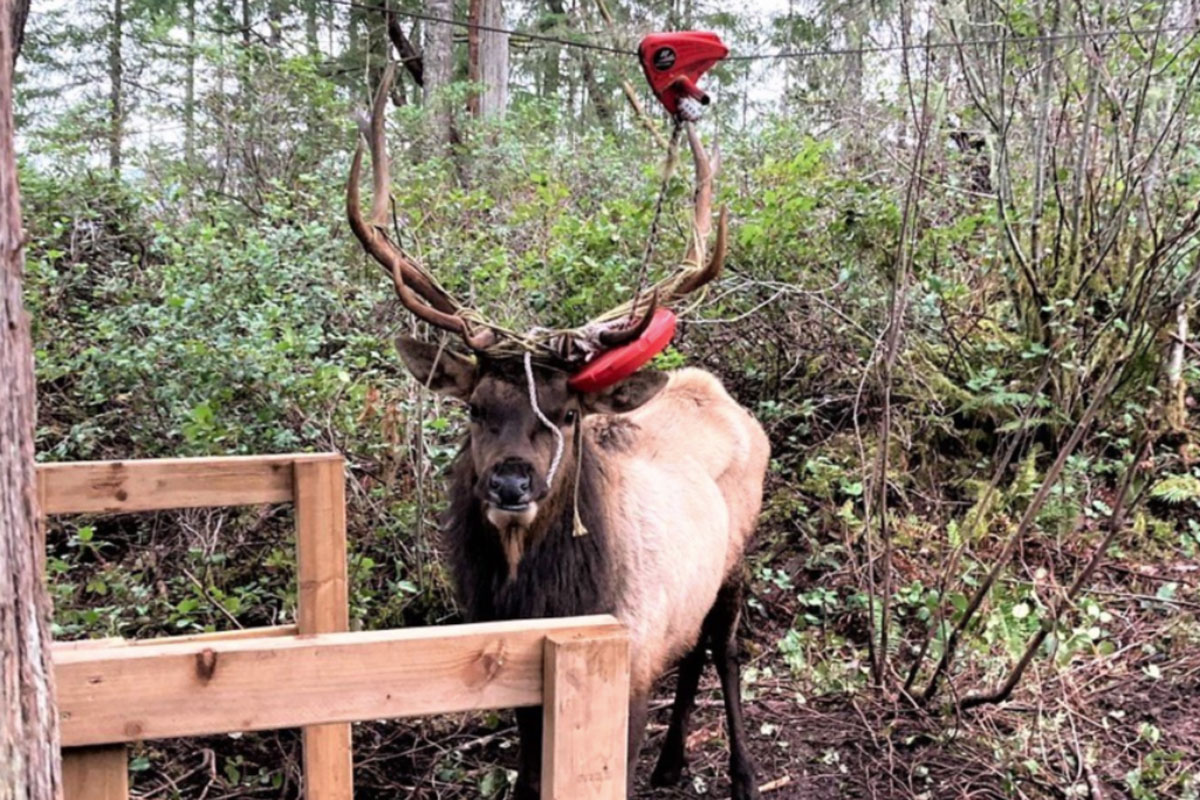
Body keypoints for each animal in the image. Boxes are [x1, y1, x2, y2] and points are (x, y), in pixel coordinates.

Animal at [350, 65, 768, 796]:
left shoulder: (628, 664)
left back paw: (742, 774)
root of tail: (717, 391)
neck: (546, 601)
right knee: (691, 650)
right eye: (475, 407)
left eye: (567, 414)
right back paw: (672, 760)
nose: (511, 482)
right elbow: (527, 772)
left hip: (738, 558)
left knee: (725, 648)